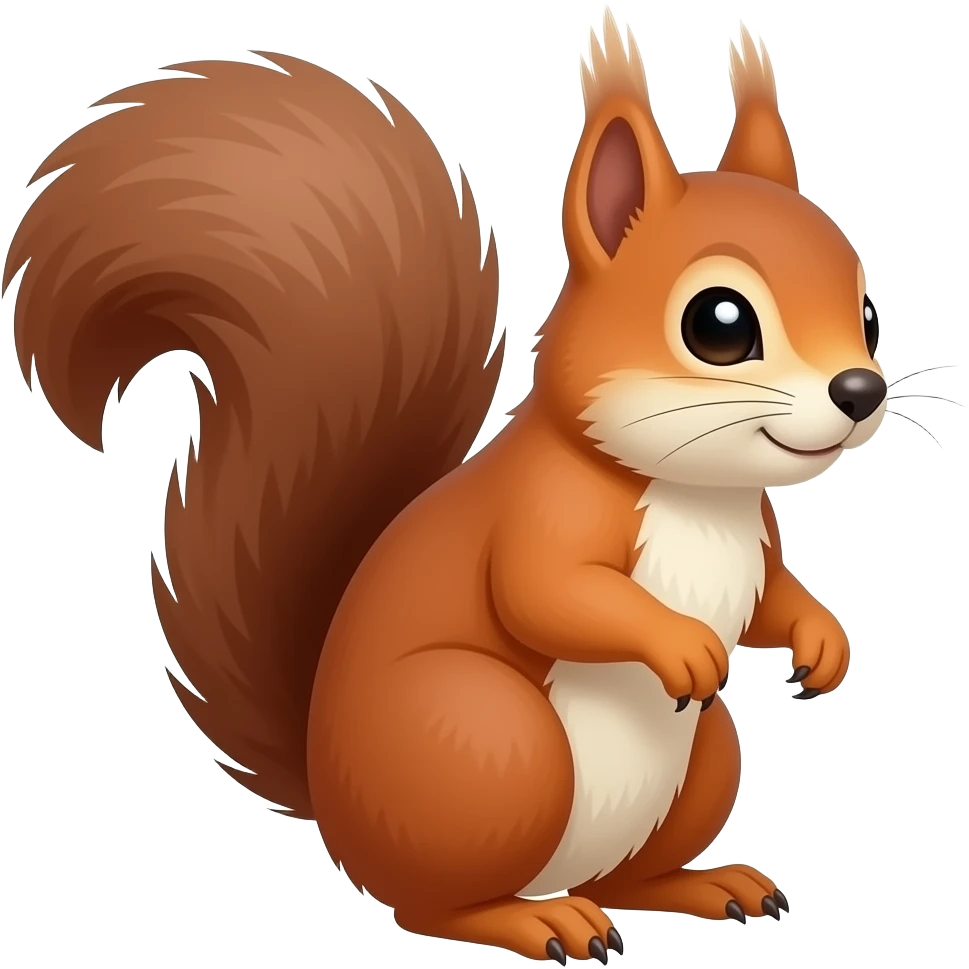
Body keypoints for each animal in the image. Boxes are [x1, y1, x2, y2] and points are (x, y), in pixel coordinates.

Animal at [6, 12, 885, 964]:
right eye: (718, 324)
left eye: (868, 315)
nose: (860, 390)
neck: (697, 491)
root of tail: (334, 807)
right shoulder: (543, 511)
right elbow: (548, 592)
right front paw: (681, 642)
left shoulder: (757, 539)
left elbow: (772, 599)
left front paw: (822, 640)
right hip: (489, 741)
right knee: (432, 904)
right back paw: (536, 918)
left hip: (704, 756)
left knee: (625, 876)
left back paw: (699, 884)